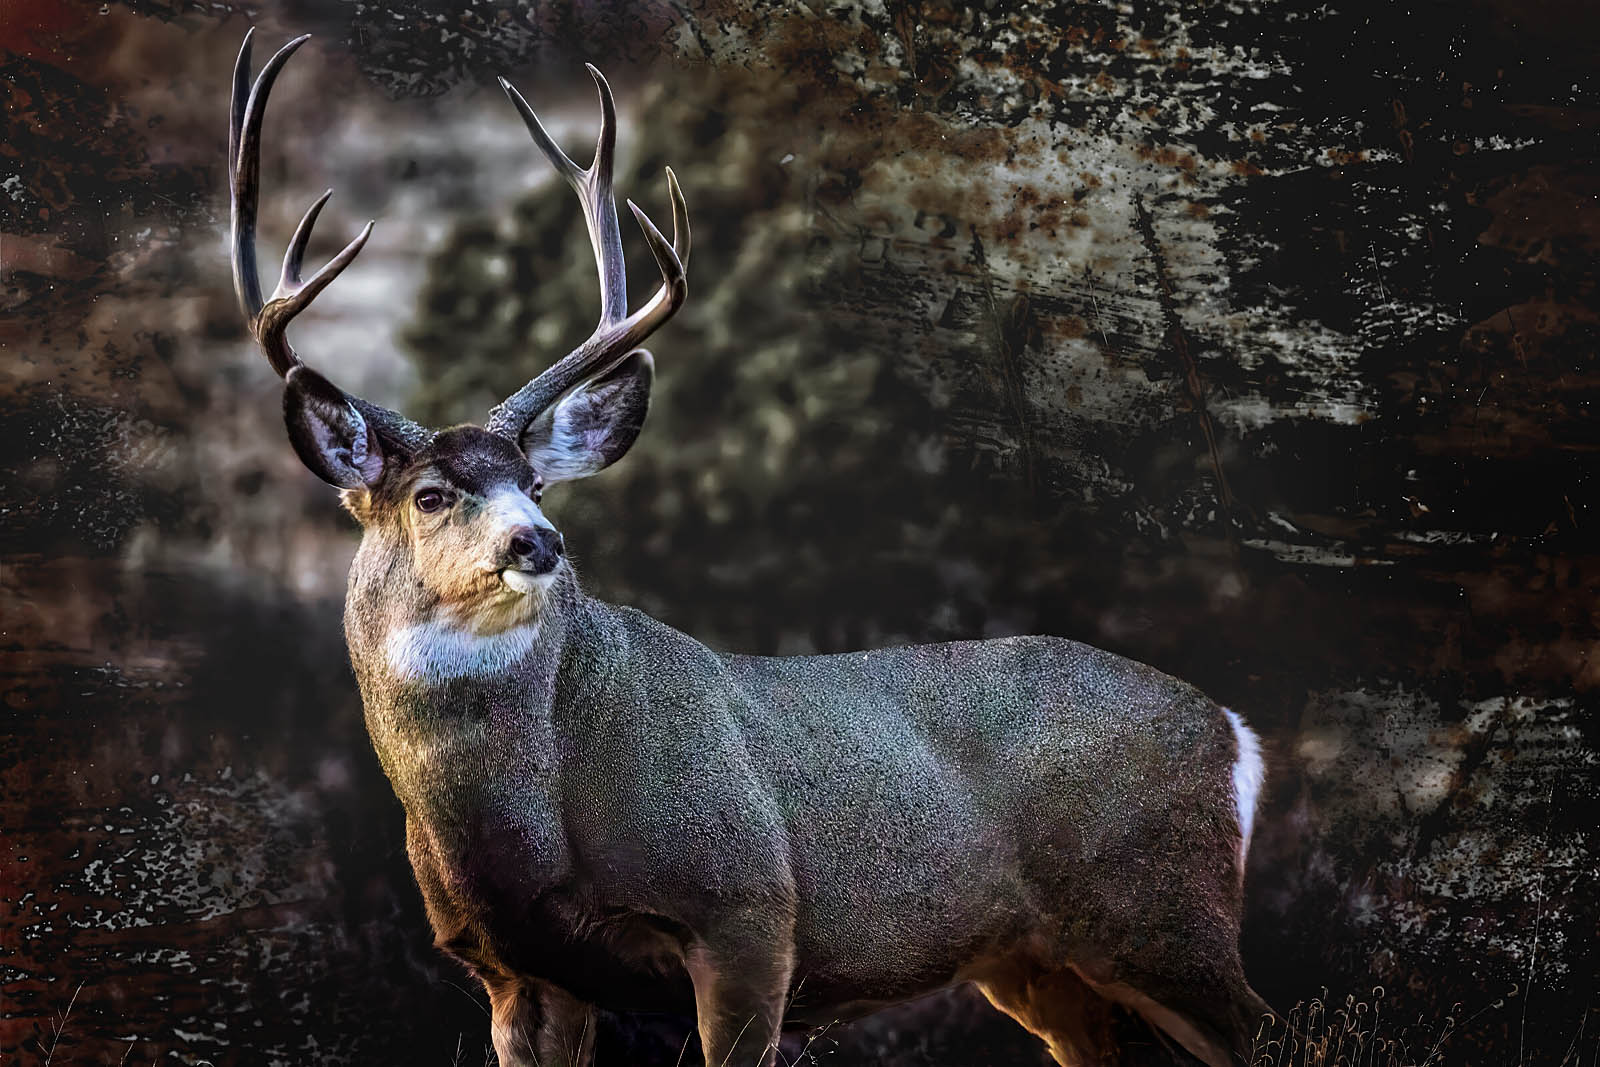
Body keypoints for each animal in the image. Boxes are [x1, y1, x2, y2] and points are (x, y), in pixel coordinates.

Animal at [227, 30, 1279, 1067]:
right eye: (433, 495)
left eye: (534, 482)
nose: (540, 540)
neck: (521, 821)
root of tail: (1235, 730)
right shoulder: (509, 973)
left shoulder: (747, 905)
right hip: (1040, 967)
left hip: (1160, 912)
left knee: (1261, 1023)